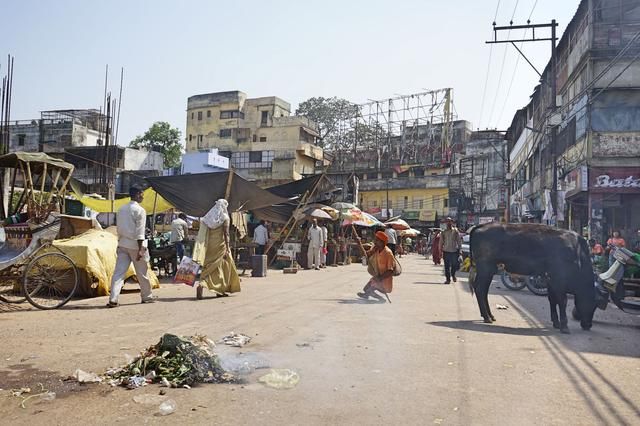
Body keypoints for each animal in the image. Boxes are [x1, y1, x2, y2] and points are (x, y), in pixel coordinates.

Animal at [468, 223, 596, 332]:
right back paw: (487, 317)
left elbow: (552, 300)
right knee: (480, 289)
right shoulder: (559, 278)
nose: (588, 325)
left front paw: (556, 323)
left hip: (489, 270)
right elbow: (562, 301)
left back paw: (490, 316)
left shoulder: (550, 279)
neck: (578, 252)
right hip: (485, 268)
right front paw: (564, 326)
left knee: (484, 290)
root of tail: (482, 225)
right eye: (592, 304)